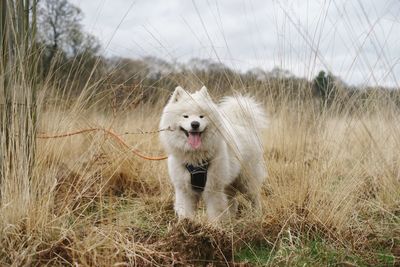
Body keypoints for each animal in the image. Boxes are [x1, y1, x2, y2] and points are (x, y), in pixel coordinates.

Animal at [159, 87, 268, 221]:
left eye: (201, 116)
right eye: (185, 116)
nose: (195, 124)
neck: (196, 158)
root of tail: (244, 125)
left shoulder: (213, 188)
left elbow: (215, 212)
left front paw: (214, 225)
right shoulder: (184, 190)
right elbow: (186, 211)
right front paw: (186, 223)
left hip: (246, 180)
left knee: (254, 198)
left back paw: (257, 216)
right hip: (229, 182)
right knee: (232, 201)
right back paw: (231, 219)